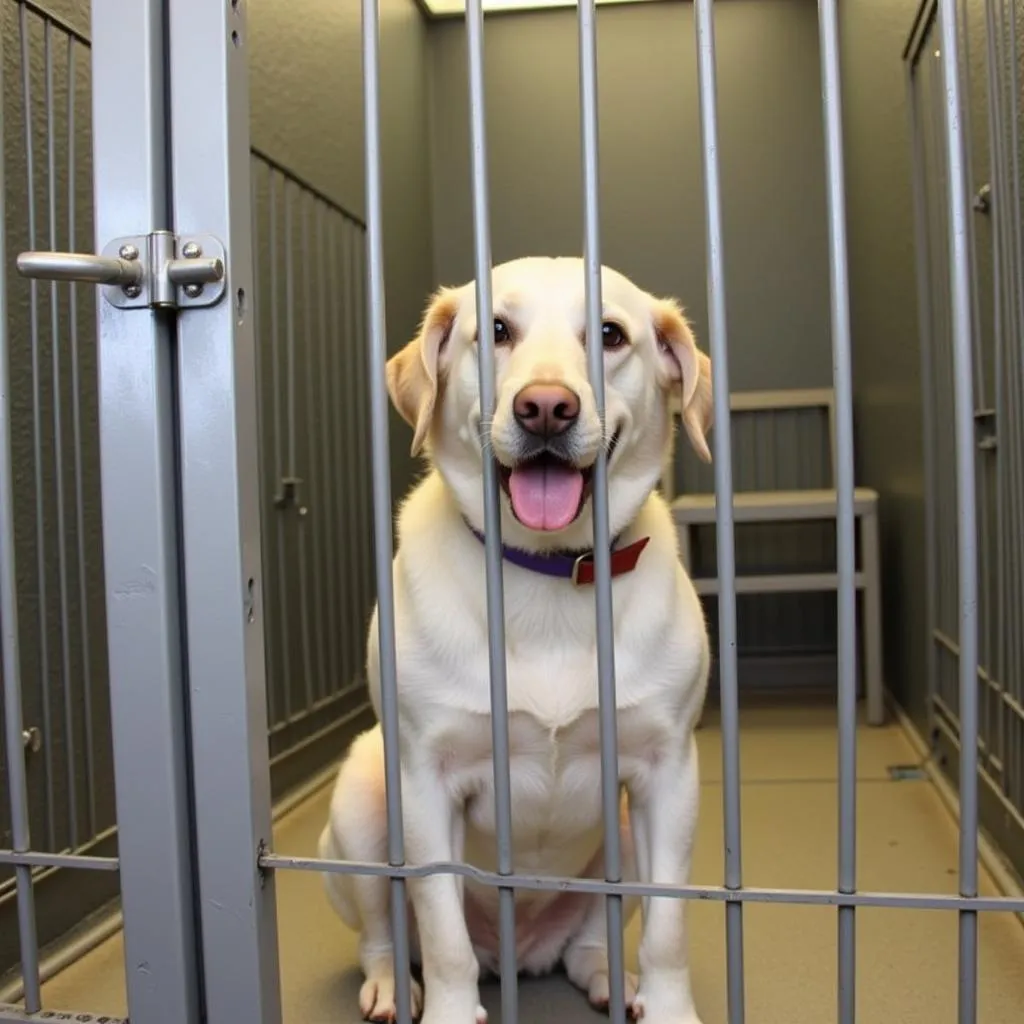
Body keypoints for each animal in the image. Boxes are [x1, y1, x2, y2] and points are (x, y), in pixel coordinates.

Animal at [317, 258, 712, 1024]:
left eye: (611, 335)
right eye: (496, 330)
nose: (547, 407)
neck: (547, 573)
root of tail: (515, 953)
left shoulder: (668, 774)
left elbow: (670, 926)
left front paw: (669, 1006)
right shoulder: (425, 781)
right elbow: (442, 932)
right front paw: (447, 1009)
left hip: (620, 835)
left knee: (588, 939)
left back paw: (607, 978)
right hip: (360, 807)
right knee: (384, 933)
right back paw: (391, 986)